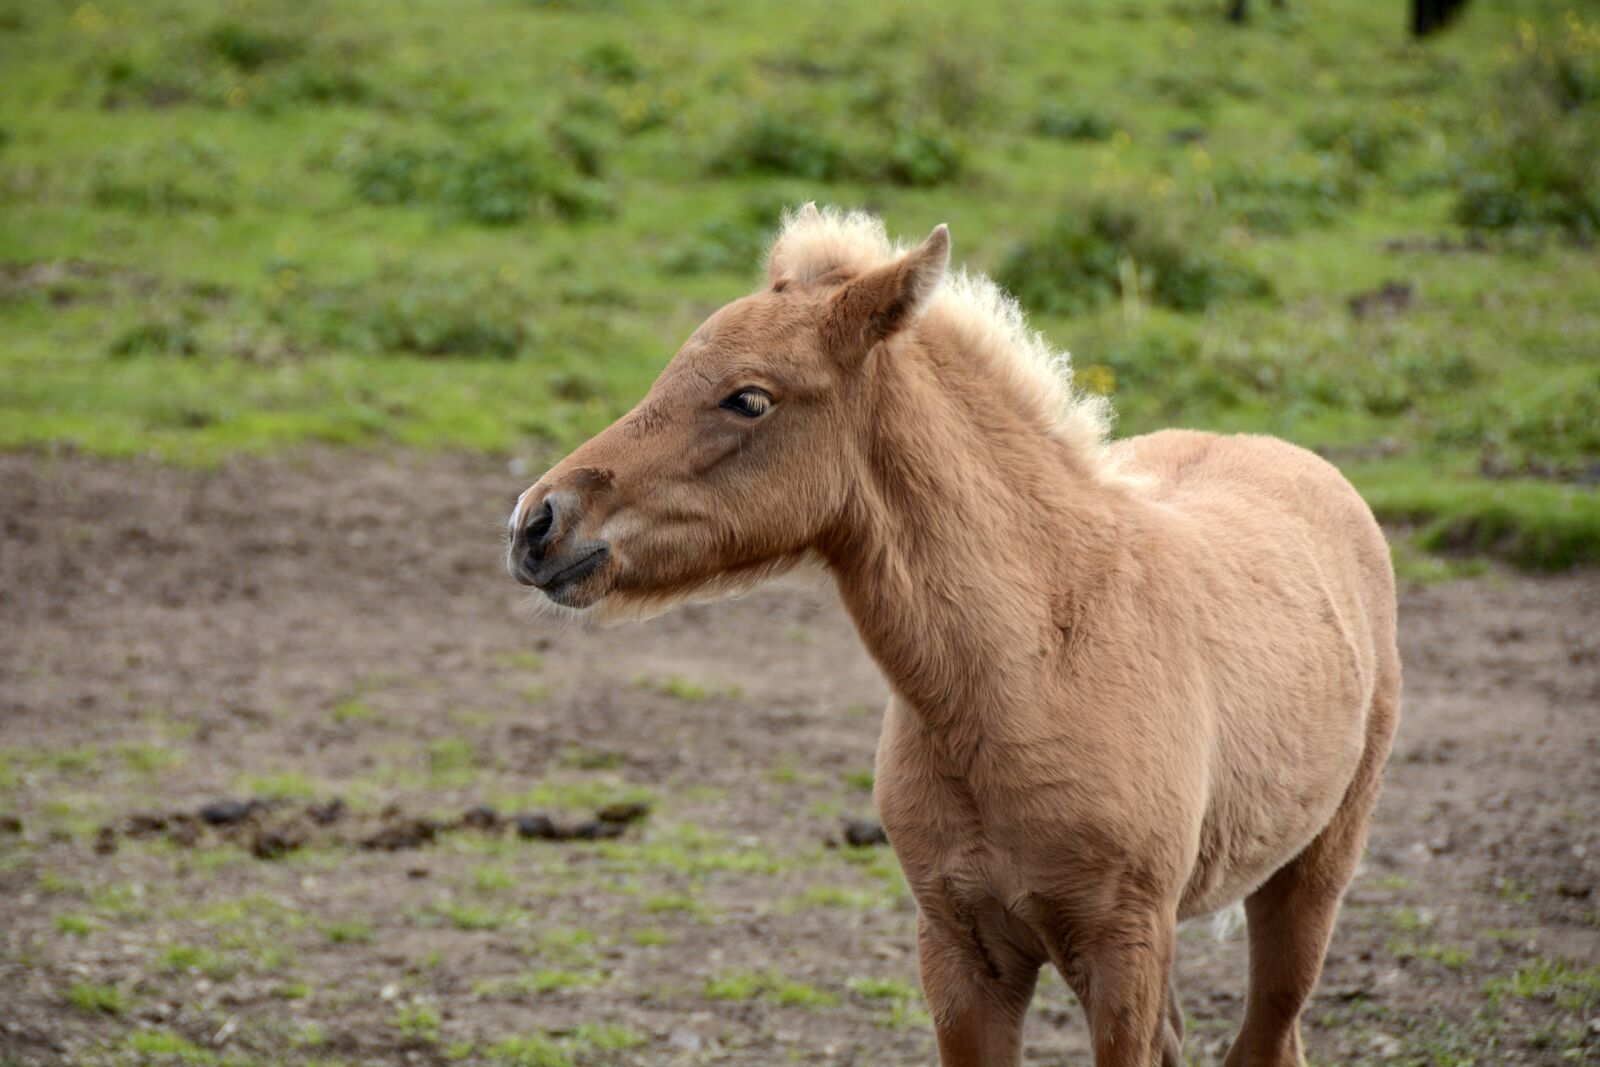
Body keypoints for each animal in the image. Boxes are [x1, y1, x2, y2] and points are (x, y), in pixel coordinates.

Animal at [506, 205, 1401, 1067]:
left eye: (749, 397)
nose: (536, 522)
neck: (1032, 677)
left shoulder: (1124, 953)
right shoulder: (960, 953)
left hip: (1311, 875)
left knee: (1270, 1036)